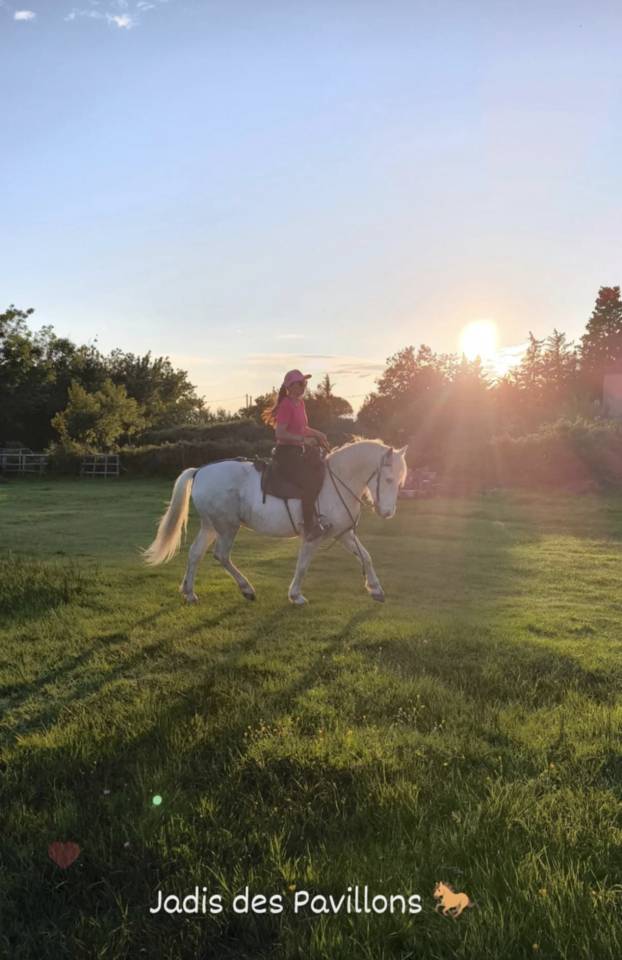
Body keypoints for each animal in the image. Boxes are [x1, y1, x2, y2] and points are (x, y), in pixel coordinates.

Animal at [143, 439, 408, 605]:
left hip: (211, 526)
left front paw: (376, 589)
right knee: (221, 555)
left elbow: (366, 557)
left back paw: (189, 592)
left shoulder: (343, 533)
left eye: (399, 481)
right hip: (227, 527)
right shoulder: (314, 536)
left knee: (195, 554)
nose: (387, 512)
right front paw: (296, 595)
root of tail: (200, 471)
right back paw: (246, 588)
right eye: (388, 479)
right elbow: (303, 565)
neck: (337, 481)